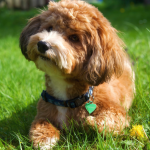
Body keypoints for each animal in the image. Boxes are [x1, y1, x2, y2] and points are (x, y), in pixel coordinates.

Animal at [19, 0, 135, 149]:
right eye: (49, 28)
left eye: (74, 38)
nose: (43, 44)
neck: (66, 100)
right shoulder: (44, 111)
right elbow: (40, 124)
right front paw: (44, 139)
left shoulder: (117, 111)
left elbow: (109, 121)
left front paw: (92, 121)